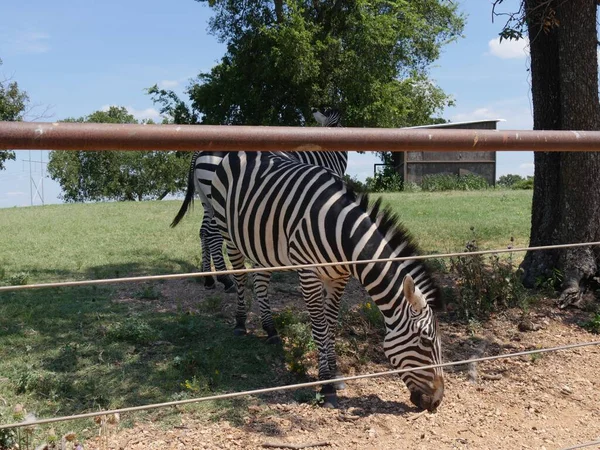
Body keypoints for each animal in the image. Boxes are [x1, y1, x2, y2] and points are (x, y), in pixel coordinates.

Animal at [169, 109, 346, 292]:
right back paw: (226, 279)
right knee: (213, 235)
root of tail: (200, 151)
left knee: (203, 232)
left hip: (207, 201)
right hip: (220, 201)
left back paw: (209, 279)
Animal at [211, 151, 446, 412]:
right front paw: (326, 384)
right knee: (241, 277)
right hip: (228, 231)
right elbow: (320, 326)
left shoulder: (339, 277)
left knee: (261, 282)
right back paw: (240, 323)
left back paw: (271, 330)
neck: (343, 236)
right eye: (425, 340)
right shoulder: (308, 274)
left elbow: (331, 323)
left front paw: (335, 373)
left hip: (264, 246)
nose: (437, 401)